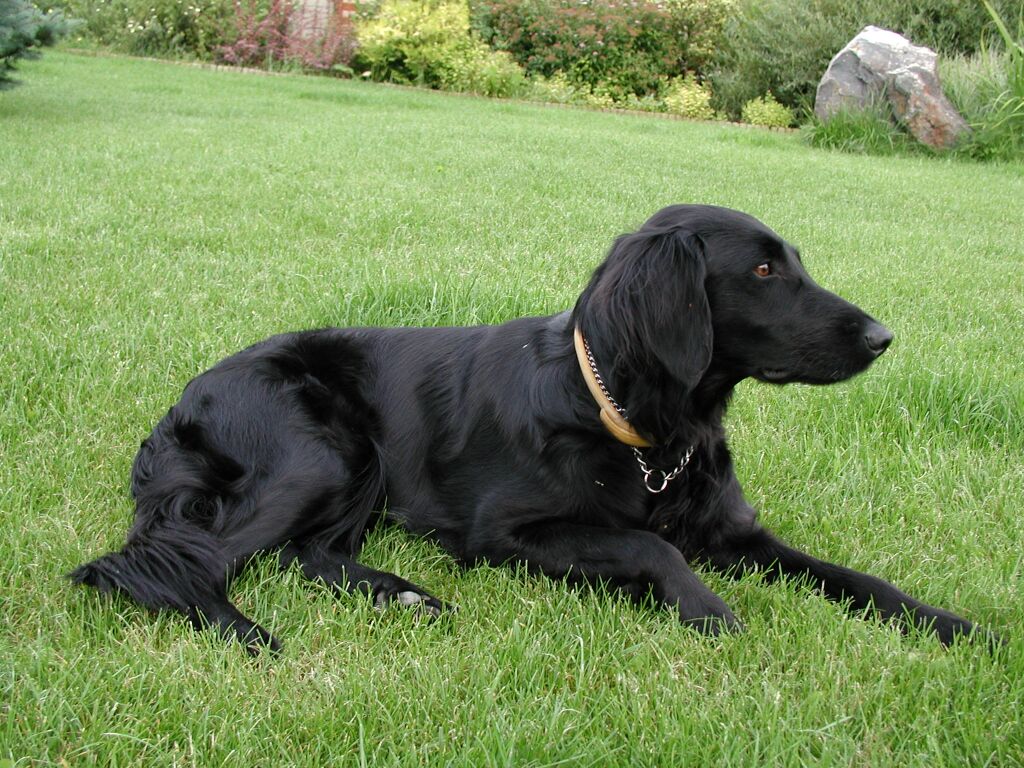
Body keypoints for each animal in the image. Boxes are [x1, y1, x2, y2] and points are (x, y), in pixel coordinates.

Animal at [70, 205, 983, 655]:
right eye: (763, 269)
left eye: (793, 261)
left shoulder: (737, 533)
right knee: (165, 562)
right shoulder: (503, 533)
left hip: (353, 473)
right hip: (320, 453)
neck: (639, 432)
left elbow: (858, 579)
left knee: (306, 555)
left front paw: (949, 624)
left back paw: (400, 595)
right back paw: (247, 636)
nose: (883, 337)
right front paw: (708, 612)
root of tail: (188, 394)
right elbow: (651, 545)